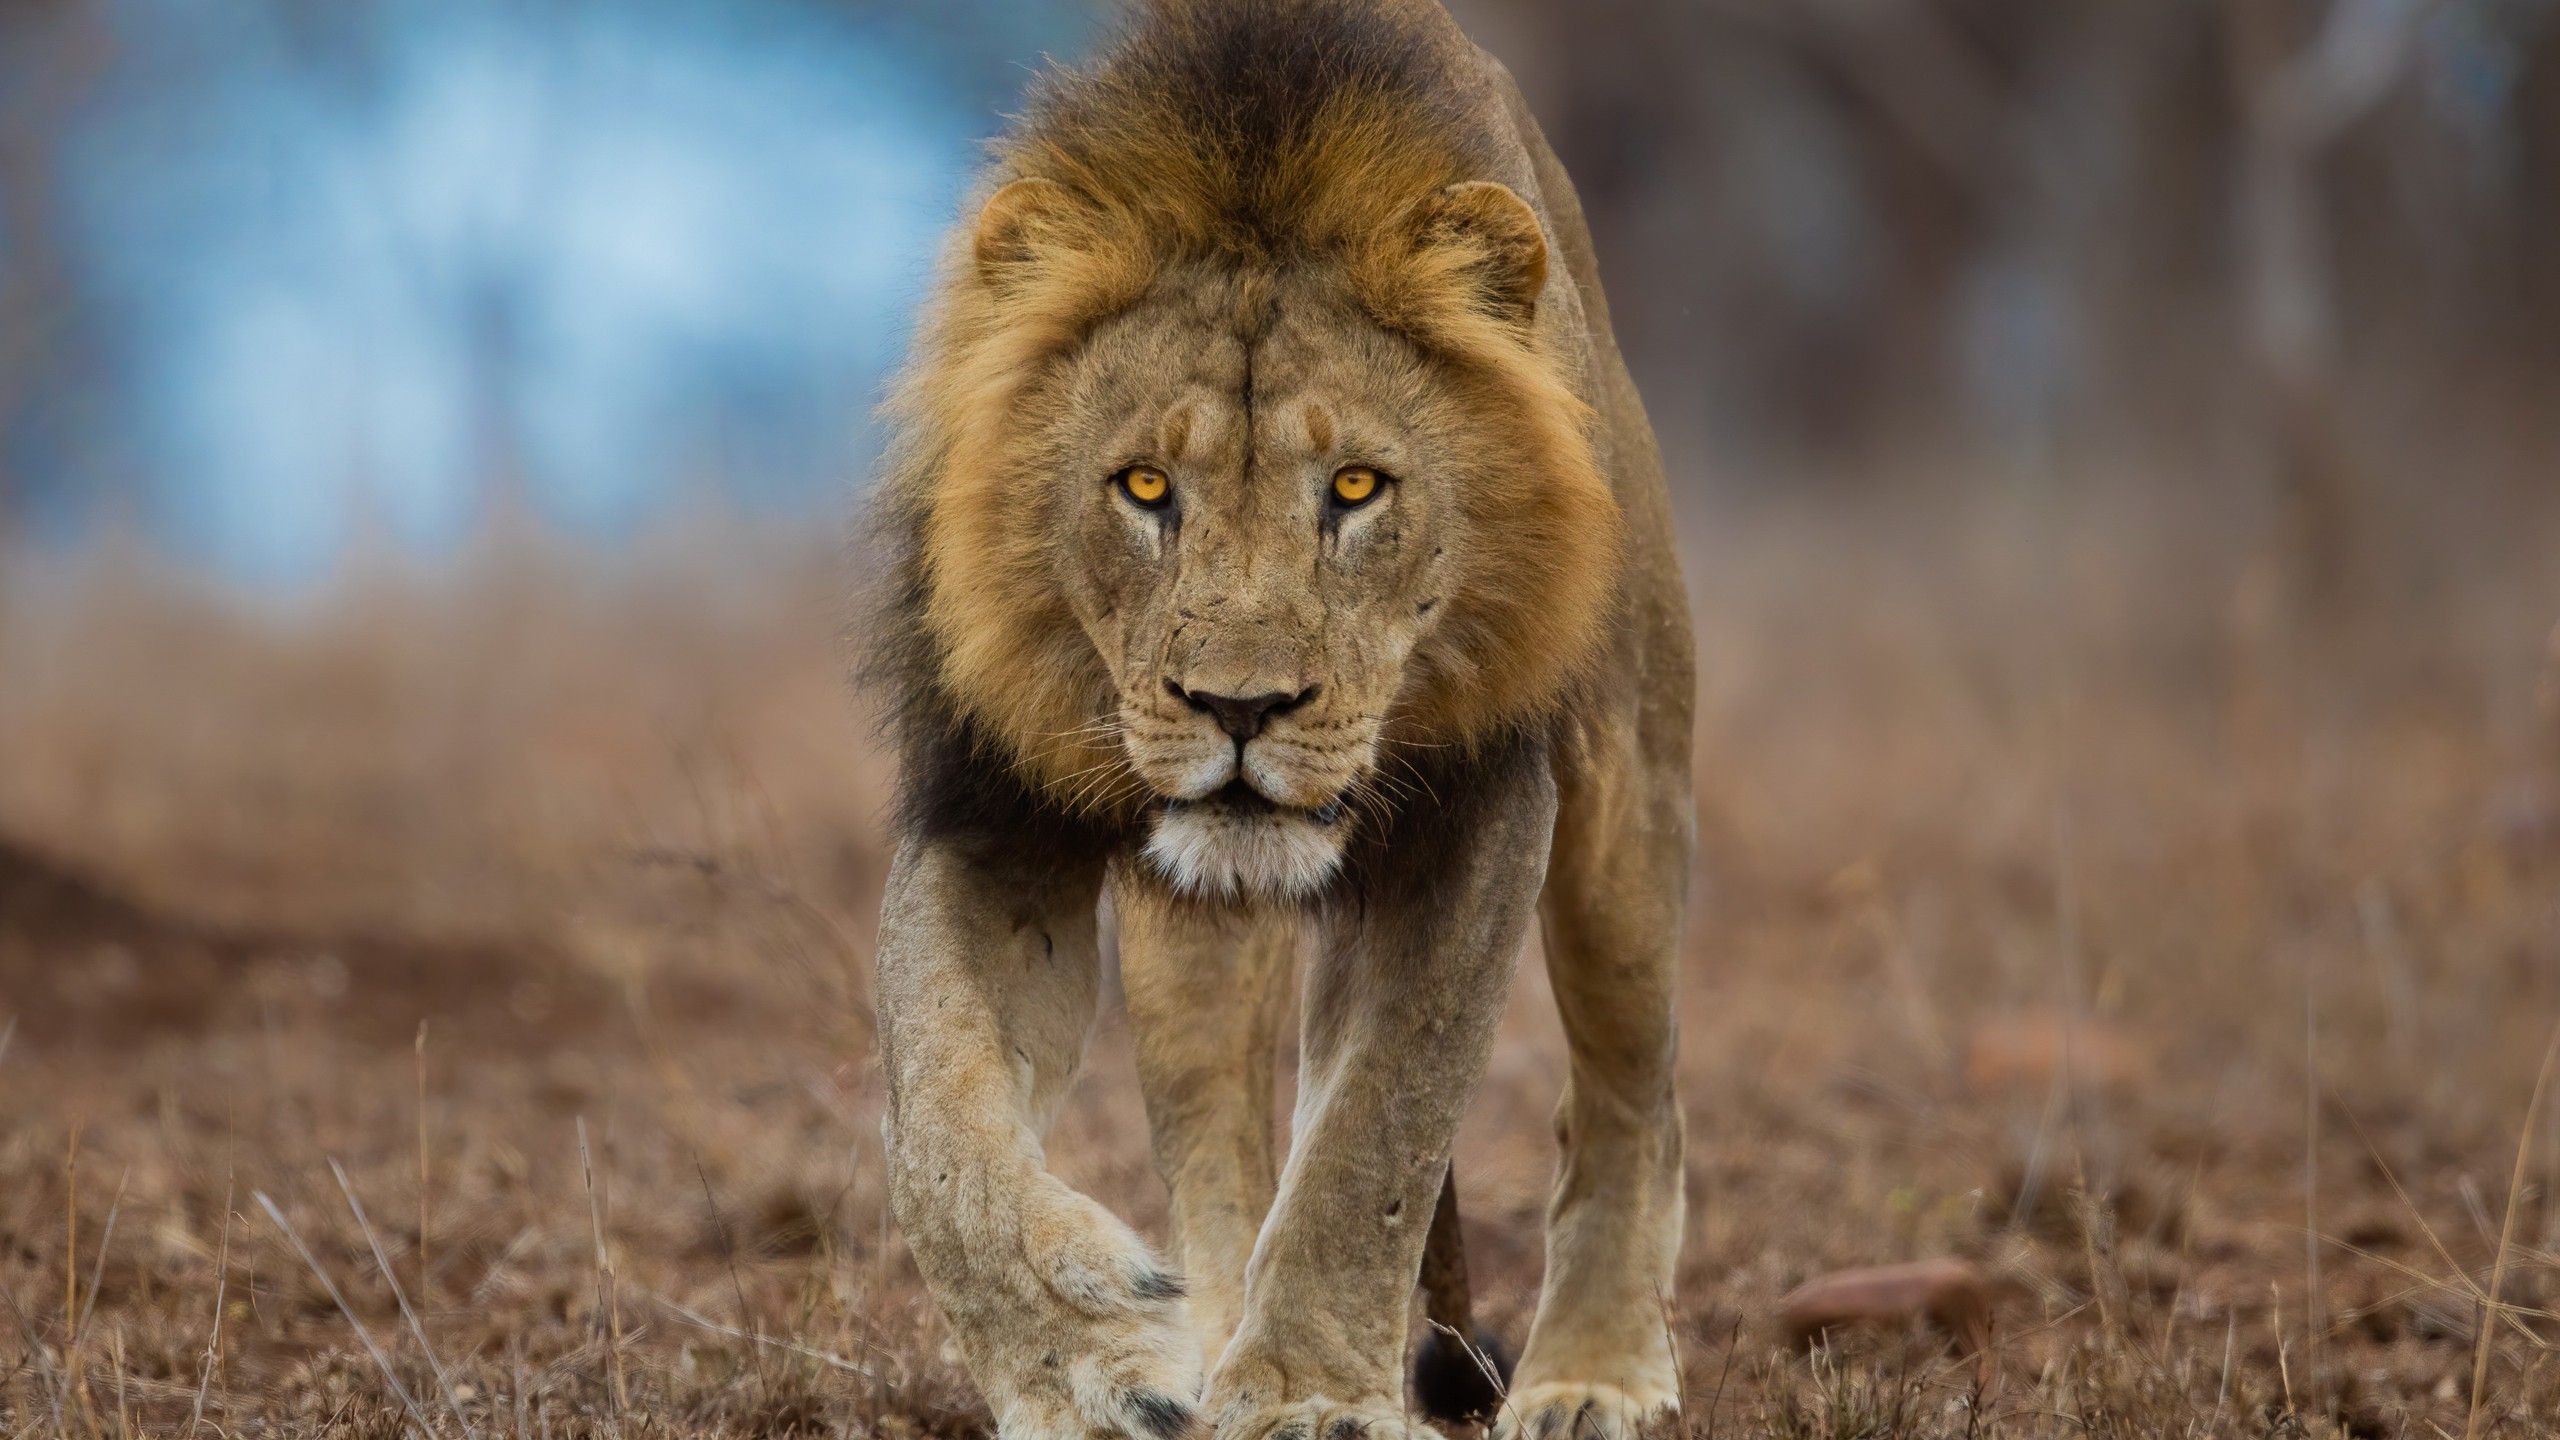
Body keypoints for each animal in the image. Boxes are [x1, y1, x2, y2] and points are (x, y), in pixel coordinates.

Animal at [859, 3, 1694, 1439]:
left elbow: (1377, 1132)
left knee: (1633, 1089)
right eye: (1144, 487)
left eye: (1356, 488)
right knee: (1218, 1133)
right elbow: (937, 1121)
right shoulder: (991, 811)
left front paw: (1310, 1395)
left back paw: (1593, 1371)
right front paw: (1084, 1364)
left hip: (1625, 802)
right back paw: (1206, 1333)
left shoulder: (1482, 808)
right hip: (1188, 952)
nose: (1239, 707)